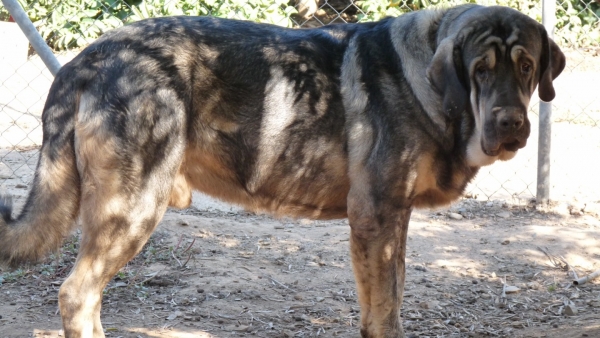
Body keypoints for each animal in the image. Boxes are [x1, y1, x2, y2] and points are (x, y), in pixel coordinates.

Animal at [0, 3, 564, 336]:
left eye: (527, 67)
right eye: (479, 71)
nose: (512, 124)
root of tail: (86, 59)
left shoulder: (391, 222)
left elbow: (387, 300)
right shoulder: (376, 217)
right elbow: (385, 309)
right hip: (132, 209)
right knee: (77, 295)